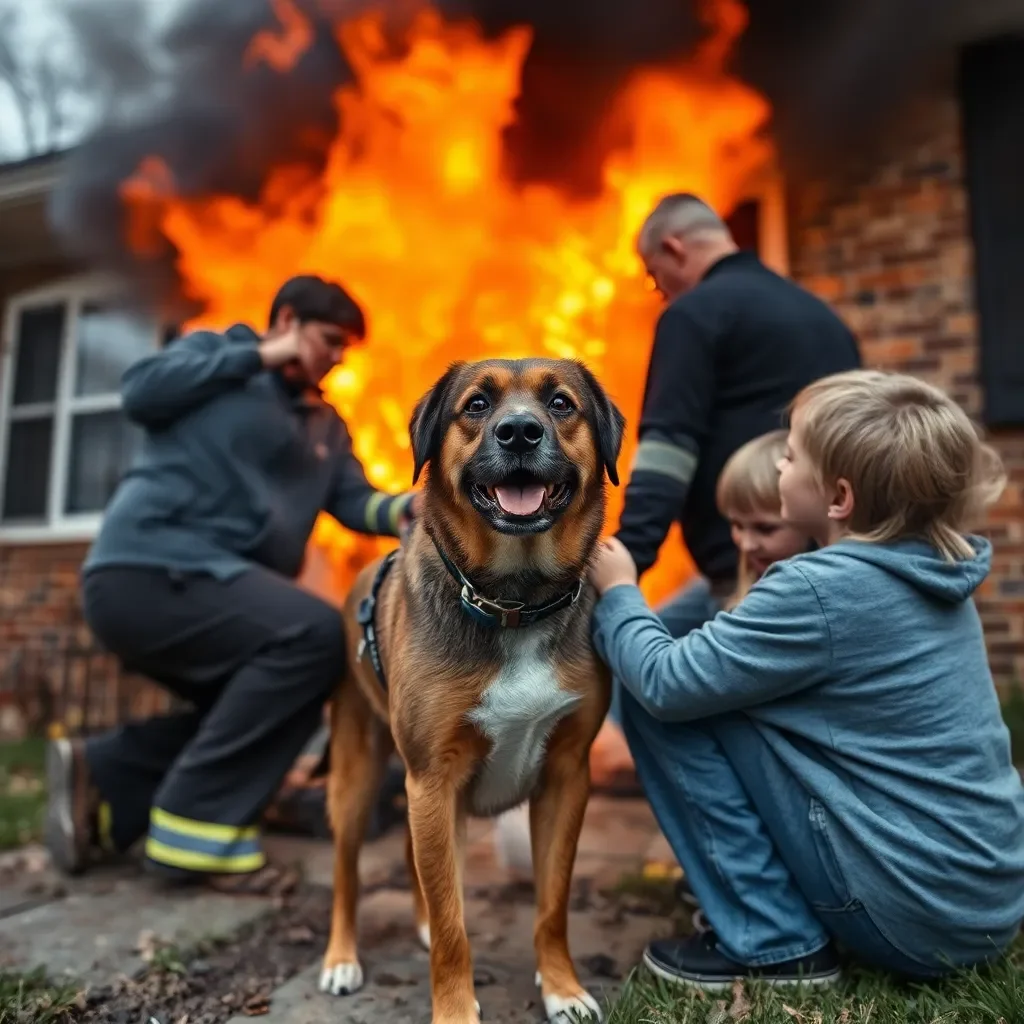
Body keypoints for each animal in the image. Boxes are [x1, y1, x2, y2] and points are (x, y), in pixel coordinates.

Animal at [319, 360, 622, 1024]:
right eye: (477, 405)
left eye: (561, 404)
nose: (519, 433)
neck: (514, 601)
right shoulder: (433, 779)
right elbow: (454, 926)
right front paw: (456, 1009)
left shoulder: (566, 776)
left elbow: (552, 905)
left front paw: (562, 989)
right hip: (356, 783)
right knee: (348, 876)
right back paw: (340, 959)